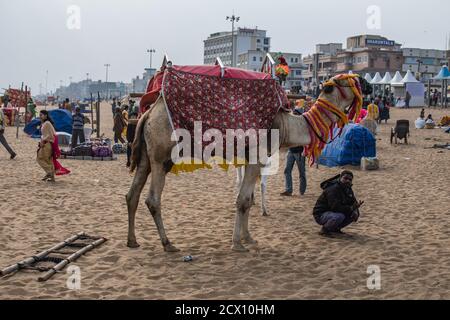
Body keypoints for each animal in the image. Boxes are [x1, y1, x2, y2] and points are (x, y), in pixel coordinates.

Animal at [125, 69, 370, 251]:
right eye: (346, 81)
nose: (366, 82)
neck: (286, 125)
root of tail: (148, 113)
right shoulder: (256, 156)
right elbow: (242, 200)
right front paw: (238, 244)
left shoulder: (249, 158)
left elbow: (248, 200)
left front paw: (248, 238)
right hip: (161, 156)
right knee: (152, 199)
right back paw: (168, 244)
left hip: (147, 156)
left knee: (132, 194)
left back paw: (132, 241)